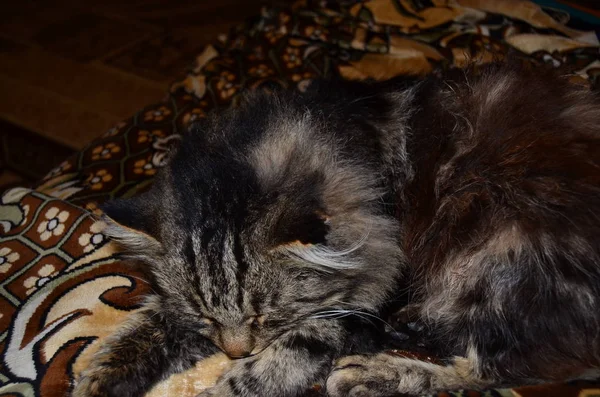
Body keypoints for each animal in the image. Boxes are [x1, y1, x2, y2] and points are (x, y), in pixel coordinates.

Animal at [72, 62, 600, 396]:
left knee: (510, 365)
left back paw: (372, 374)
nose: (235, 351)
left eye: (267, 317)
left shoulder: (354, 304)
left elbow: (284, 357)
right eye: (205, 316)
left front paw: (232, 383)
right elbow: (148, 325)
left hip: (494, 254)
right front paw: (100, 378)